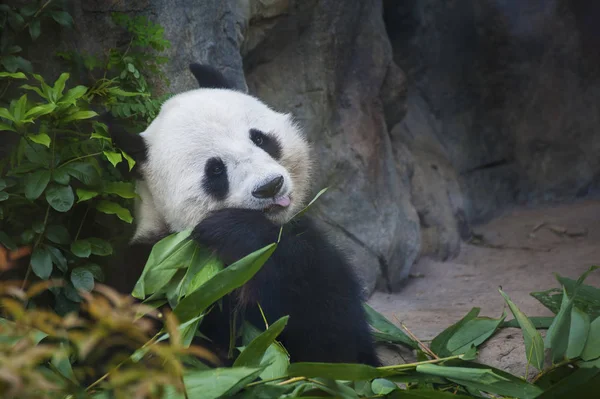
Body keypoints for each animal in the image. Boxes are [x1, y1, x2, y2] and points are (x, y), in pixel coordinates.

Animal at [106, 64, 380, 368]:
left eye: (260, 138)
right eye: (215, 170)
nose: (270, 186)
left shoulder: (301, 239)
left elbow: (335, 338)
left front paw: (235, 231)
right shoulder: (151, 276)